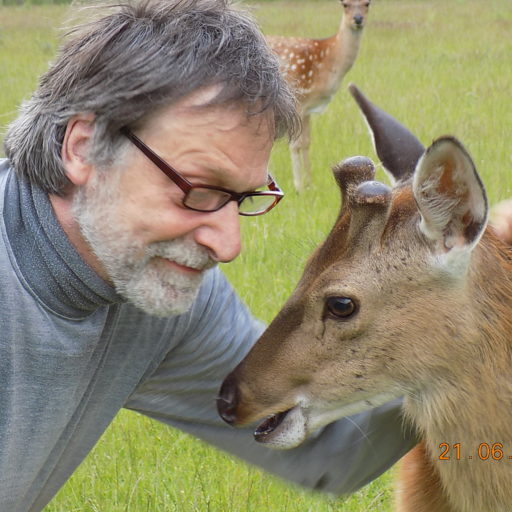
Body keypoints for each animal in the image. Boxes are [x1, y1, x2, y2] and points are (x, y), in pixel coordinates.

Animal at [267, 0, 371, 193]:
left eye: (367, 3)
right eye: (345, 4)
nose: (358, 19)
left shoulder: (308, 107)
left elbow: (307, 142)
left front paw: (310, 183)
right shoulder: (298, 99)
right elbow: (295, 144)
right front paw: (299, 187)